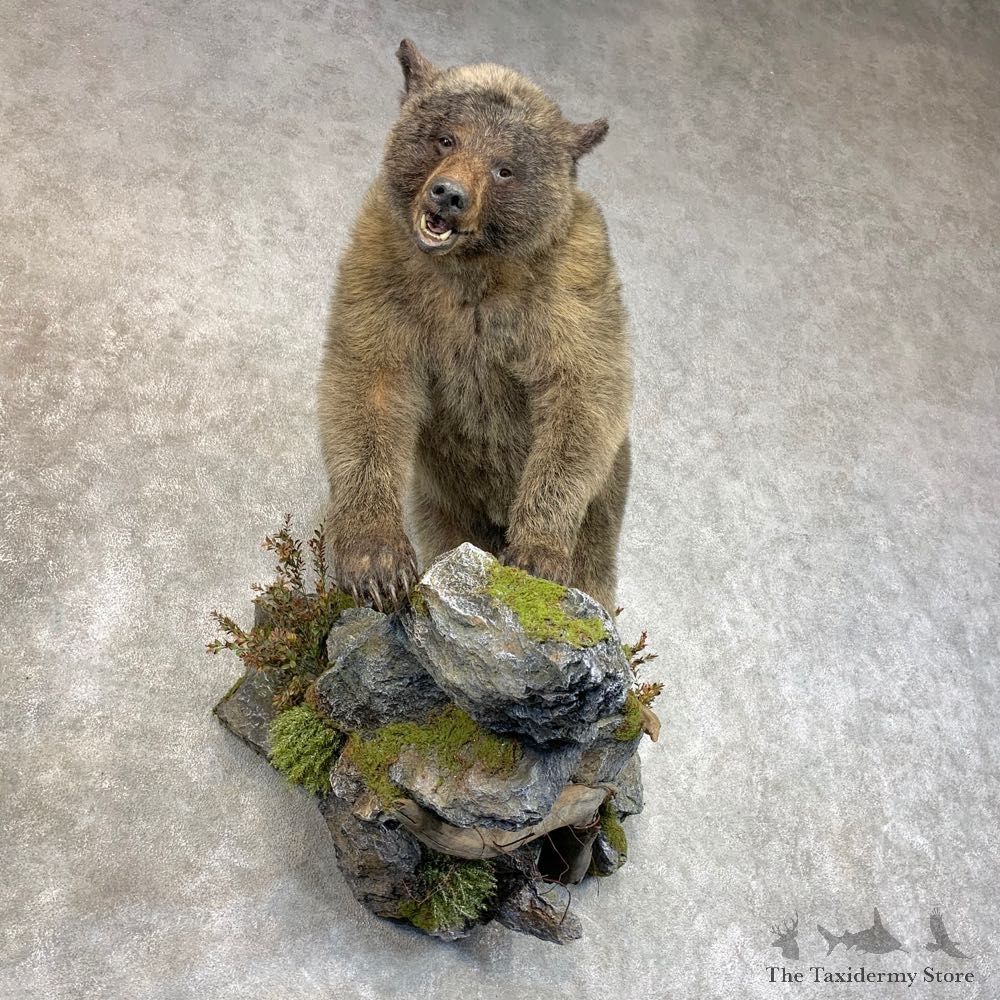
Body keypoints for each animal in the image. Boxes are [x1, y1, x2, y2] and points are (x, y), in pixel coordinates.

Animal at [317, 39, 632, 613]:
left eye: (505, 168)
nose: (448, 194)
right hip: (443, 498)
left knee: (596, 563)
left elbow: (582, 392)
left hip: (605, 505)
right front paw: (377, 563)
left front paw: (537, 554)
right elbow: (369, 383)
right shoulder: (383, 263)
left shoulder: (572, 282)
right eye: (446, 137)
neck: (472, 268)